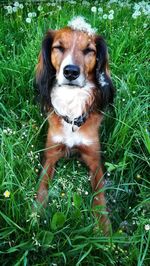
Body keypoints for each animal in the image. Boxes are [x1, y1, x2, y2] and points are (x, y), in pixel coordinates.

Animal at [35, 16, 114, 233]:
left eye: (89, 50)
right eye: (59, 47)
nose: (71, 72)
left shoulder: (94, 158)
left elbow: (99, 196)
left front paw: (104, 229)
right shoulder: (51, 154)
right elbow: (42, 186)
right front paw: (36, 212)